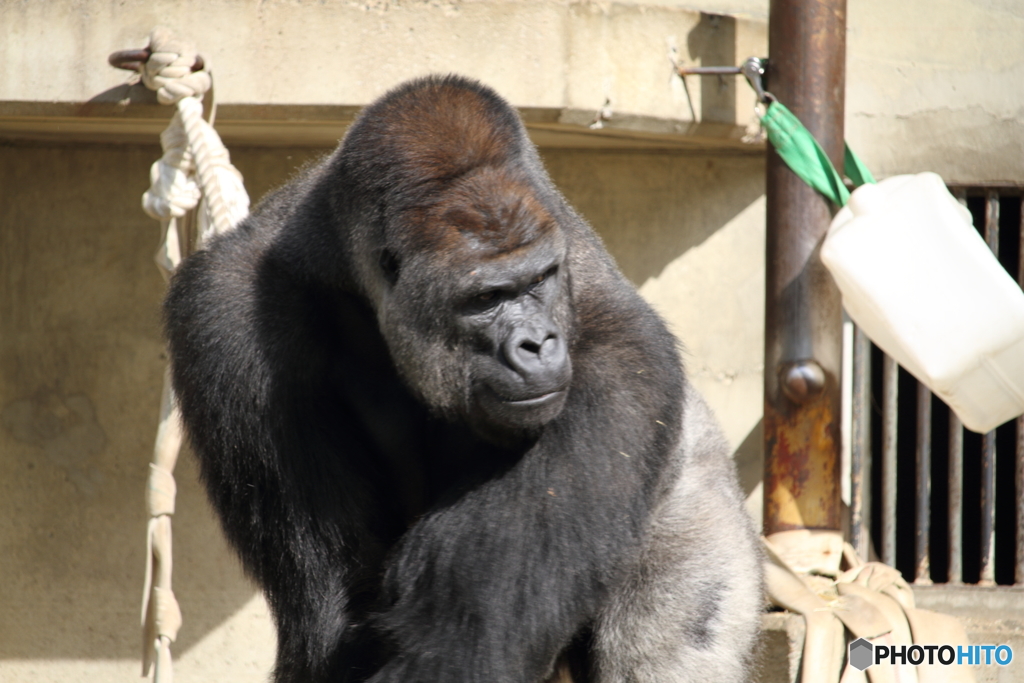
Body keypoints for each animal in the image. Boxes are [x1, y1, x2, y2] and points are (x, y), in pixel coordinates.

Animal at [165, 74, 761, 683]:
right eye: (486, 298)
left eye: (540, 279)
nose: (539, 344)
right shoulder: (225, 315)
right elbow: (336, 615)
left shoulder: (619, 360)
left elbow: (459, 647)